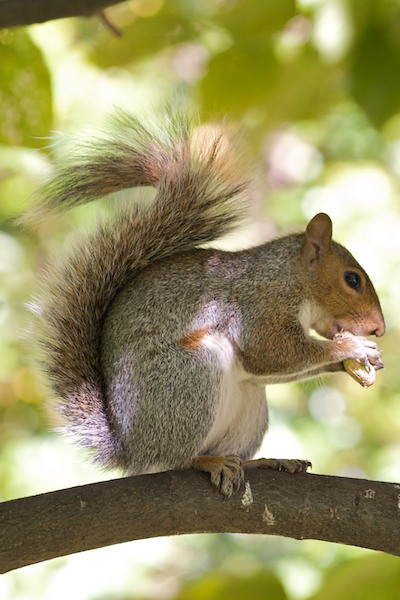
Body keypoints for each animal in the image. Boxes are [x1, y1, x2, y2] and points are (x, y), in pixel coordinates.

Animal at [25, 111, 384, 496]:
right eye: (352, 280)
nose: (379, 328)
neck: (288, 277)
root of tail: (131, 450)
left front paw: (360, 358)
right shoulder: (259, 306)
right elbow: (272, 353)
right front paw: (351, 348)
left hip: (248, 402)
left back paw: (261, 461)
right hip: (188, 375)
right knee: (175, 459)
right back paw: (206, 461)